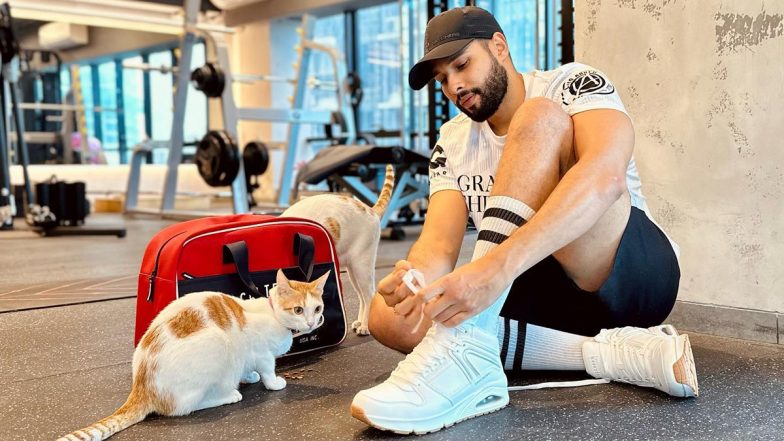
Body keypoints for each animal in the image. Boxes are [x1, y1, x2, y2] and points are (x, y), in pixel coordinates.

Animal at [57, 268, 328, 440]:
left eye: (317, 308)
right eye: (298, 309)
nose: (313, 322)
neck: (271, 313)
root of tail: (141, 386)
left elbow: (248, 367)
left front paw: (249, 376)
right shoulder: (261, 351)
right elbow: (268, 370)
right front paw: (272, 383)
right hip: (217, 344)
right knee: (183, 408)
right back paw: (228, 395)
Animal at [280, 164, 392, 334]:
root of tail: (369, 209)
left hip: (362, 265)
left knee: (369, 294)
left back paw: (365, 326)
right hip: (352, 269)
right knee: (361, 296)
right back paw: (359, 322)